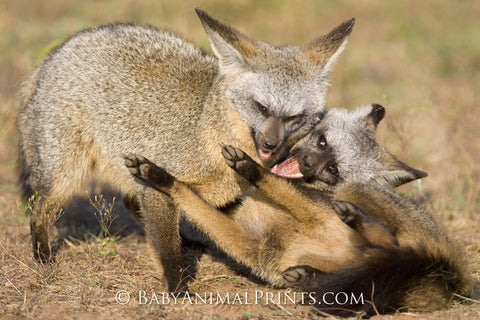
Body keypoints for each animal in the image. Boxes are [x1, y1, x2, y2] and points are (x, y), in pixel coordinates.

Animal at [16, 9, 354, 290]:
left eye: (294, 117)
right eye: (261, 107)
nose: (271, 145)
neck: (209, 131)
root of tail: (57, 53)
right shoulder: (157, 181)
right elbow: (165, 244)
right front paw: (176, 283)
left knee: (129, 201)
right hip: (65, 176)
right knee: (38, 213)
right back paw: (43, 256)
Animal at [125, 104, 470, 316]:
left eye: (332, 169)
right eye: (321, 141)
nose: (305, 162)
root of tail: (453, 278)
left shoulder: (309, 211)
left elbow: (271, 183)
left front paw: (249, 168)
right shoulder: (255, 251)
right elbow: (185, 193)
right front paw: (156, 176)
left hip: (353, 193)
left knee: (390, 244)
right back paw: (312, 276)